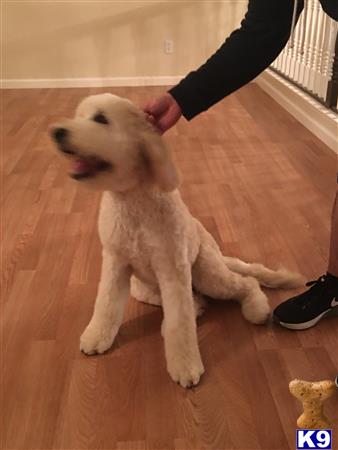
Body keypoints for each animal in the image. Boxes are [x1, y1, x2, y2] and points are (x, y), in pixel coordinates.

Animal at [50, 93, 304, 388]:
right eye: (77, 116)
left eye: (101, 119)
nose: (57, 132)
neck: (131, 202)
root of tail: (218, 253)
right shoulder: (116, 263)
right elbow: (106, 305)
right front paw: (96, 336)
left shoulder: (173, 269)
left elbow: (179, 324)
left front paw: (185, 365)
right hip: (142, 287)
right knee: (191, 299)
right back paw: (199, 306)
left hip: (208, 274)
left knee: (246, 282)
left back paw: (256, 309)